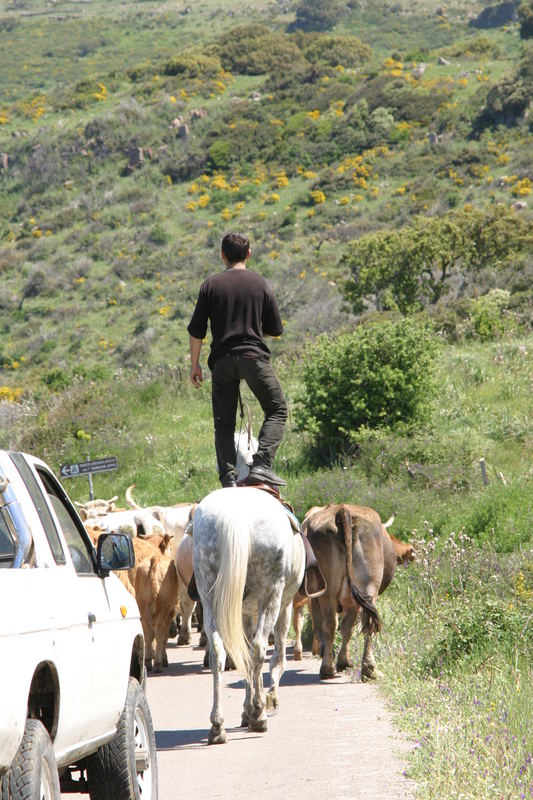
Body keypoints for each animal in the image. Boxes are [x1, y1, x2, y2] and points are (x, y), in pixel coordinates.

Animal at [193, 488, 306, 744]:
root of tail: (235, 513)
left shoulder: (243, 614)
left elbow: (241, 655)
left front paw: (247, 709)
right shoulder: (284, 607)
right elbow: (277, 658)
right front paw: (266, 701)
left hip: (208, 596)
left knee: (219, 652)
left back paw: (217, 726)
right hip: (272, 594)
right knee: (258, 648)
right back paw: (259, 715)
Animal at [302, 504, 414, 680]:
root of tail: (342, 510)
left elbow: (343, 626)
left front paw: (340, 659)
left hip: (335, 592)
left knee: (333, 625)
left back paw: (333, 667)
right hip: (362, 590)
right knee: (359, 625)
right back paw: (365, 668)